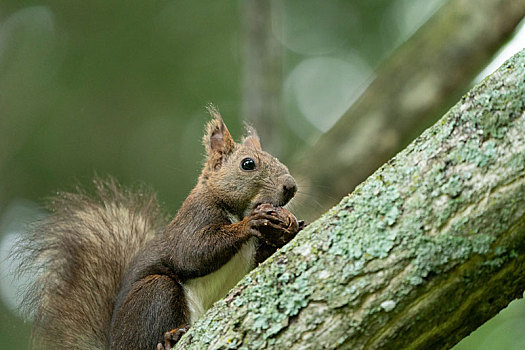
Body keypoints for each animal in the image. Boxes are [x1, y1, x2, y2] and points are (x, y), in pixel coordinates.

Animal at [16, 106, 300, 350]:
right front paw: (250, 223)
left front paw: (288, 228)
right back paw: (170, 338)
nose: (291, 186)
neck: (233, 207)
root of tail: (114, 344)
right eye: (248, 164)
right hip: (155, 294)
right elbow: (192, 253)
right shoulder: (194, 219)